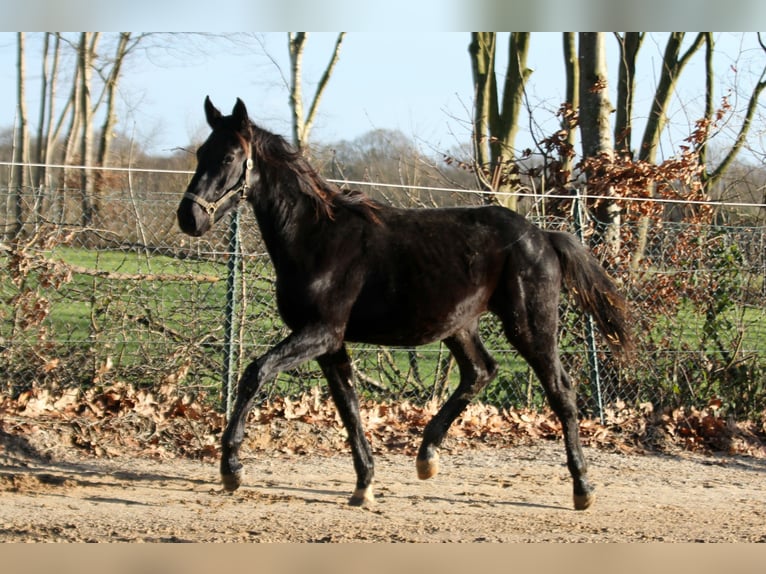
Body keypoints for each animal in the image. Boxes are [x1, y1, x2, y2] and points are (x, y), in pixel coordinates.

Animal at [178, 97, 636, 510]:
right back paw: (426, 457)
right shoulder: (330, 343)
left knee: (560, 390)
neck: (317, 239)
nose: (189, 217)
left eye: (230, 156)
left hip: (530, 326)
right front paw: (364, 485)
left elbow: (255, 373)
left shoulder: (320, 332)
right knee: (481, 371)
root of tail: (543, 237)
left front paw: (231, 469)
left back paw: (582, 488)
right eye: (201, 153)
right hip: (459, 325)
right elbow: (348, 406)